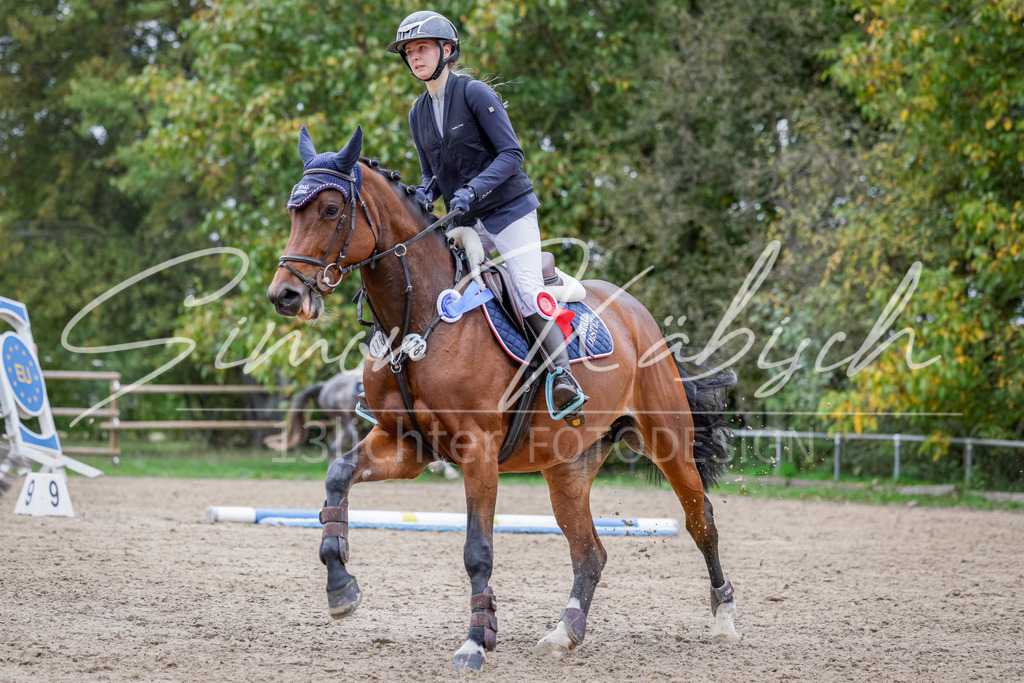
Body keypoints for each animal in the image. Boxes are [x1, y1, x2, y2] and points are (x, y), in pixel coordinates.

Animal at [267, 125, 741, 670]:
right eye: (293, 212)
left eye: (329, 210)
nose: (283, 296)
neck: (417, 314)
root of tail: (639, 314)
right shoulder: (406, 444)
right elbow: (337, 476)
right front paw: (341, 586)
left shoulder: (478, 450)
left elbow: (478, 550)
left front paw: (476, 641)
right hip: (568, 465)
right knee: (590, 552)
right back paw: (564, 632)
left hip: (666, 440)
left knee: (701, 521)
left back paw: (725, 619)